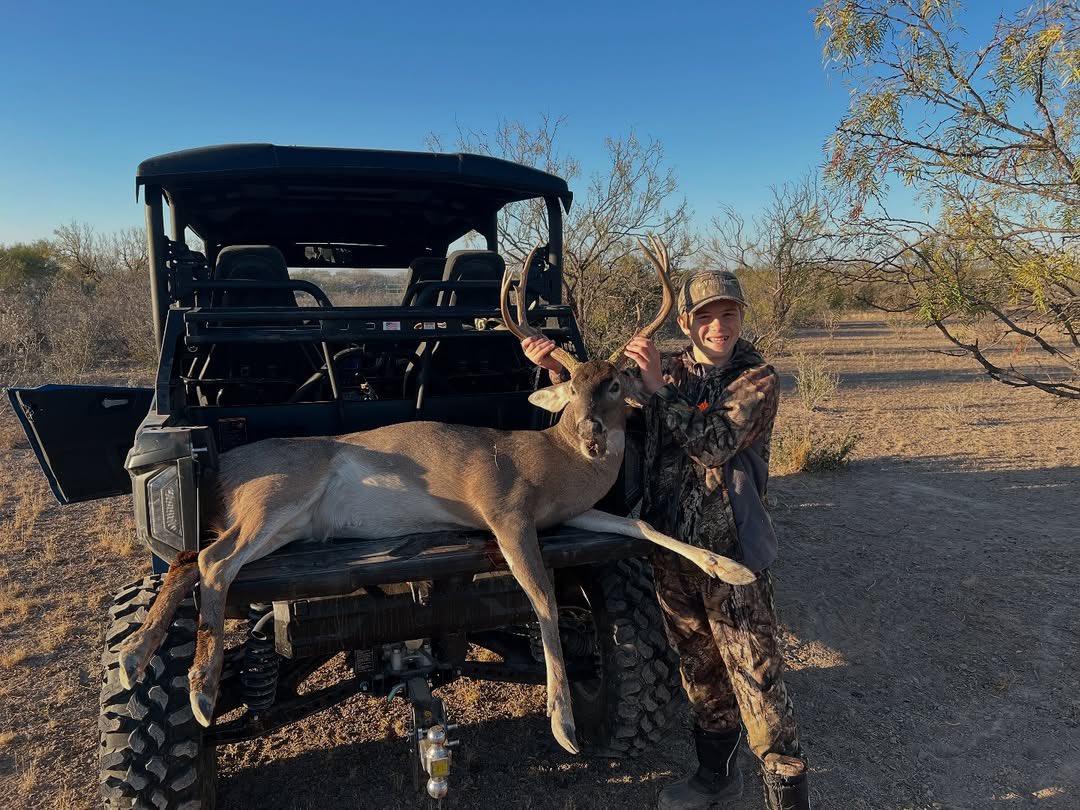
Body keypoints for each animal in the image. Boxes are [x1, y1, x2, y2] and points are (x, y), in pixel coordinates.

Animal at [116, 235, 757, 755]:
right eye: (571, 387)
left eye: (616, 385)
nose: (592, 435)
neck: (555, 465)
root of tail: (222, 467)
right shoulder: (505, 514)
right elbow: (546, 602)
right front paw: (564, 725)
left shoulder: (573, 514)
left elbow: (643, 527)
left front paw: (733, 569)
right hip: (277, 495)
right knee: (211, 561)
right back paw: (195, 690)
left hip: (286, 525)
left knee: (190, 557)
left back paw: (135, 656)